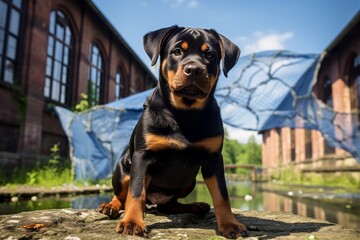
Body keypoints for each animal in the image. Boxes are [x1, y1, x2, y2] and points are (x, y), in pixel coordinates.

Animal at [97, 25, 246, 238]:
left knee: (168, 205)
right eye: (177, 51)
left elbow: (222, 195)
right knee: (123, 195)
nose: (194, 69)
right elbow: (136, 192)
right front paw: (132, 222)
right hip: (122, 170)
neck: (185, 113)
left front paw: (230, 224)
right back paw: (110, 206)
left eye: (209, 54)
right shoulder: (142, 156)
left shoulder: (214, 159)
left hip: (189, 182)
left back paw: (195, 206)